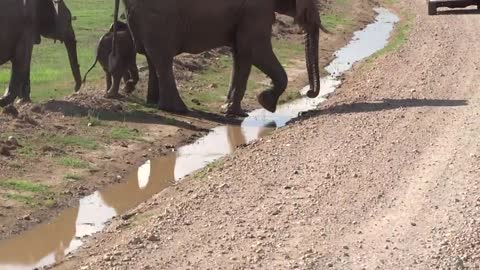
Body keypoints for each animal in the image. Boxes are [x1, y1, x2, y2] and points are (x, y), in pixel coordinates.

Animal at [113, 0, 322, 115]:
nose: (309, 93)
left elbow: (241, 53)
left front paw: (233, 111)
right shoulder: (256, 9)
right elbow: (255, 50)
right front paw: (266, 102)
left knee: (152, 57)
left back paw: (154, 103)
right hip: (159, 17)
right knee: (162, 58)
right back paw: (177, 109)